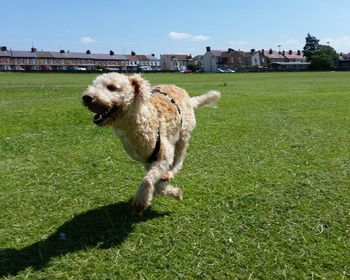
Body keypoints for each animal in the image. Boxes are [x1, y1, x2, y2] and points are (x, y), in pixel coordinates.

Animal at [82, 73, 219, 213]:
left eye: (111, 87)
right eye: (94, 84)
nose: (86, 97)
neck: (141, 122)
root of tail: (188, 98)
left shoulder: (164, 155)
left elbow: (148, 180)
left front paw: (140, 202)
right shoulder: (147, 160)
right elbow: (155, 182)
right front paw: (172, 192)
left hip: (183, 134)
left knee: (179, 160)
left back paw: (170, 172)